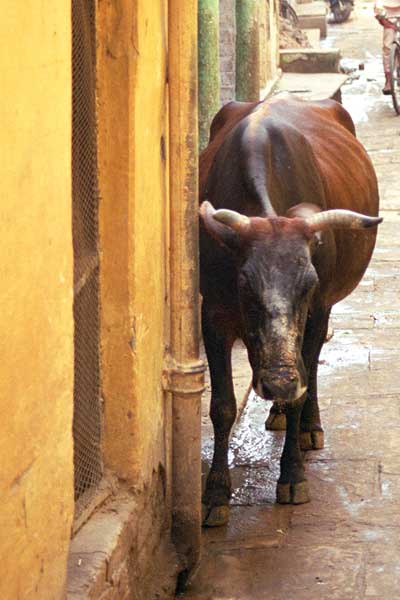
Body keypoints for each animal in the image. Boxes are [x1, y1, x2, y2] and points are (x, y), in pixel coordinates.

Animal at [200, 92, 382, 524]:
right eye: (245, 284)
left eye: (308, 283)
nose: (280, 381)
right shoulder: (212, 316)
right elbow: (222, 406)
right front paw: (215, 494)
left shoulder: (317, 309)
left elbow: (304, 379)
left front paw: (293, 475)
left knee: (310, 368)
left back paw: (307, 424)